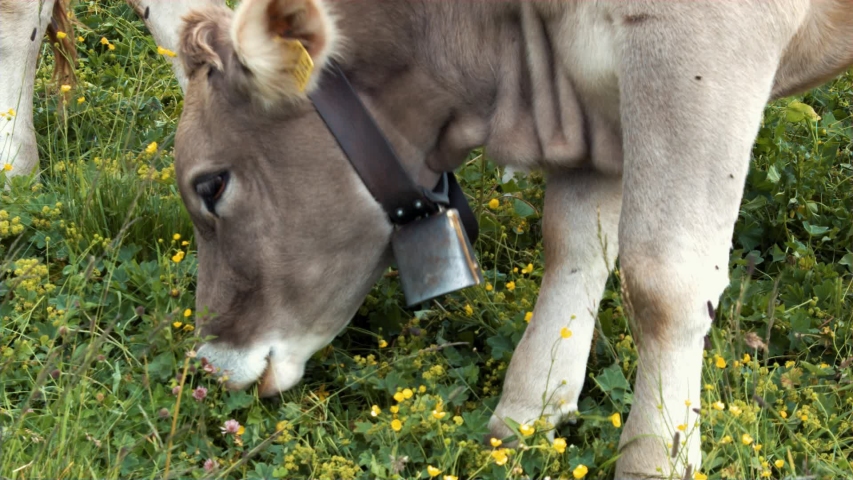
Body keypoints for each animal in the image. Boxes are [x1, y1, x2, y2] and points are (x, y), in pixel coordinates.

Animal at [173, 0, 853, 478]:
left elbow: (663, 282)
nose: (206, 366)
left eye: (211, 186)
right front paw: (531, 410)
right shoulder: (591, 104)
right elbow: (573, 243)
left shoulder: (700, 48)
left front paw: (656, 458)